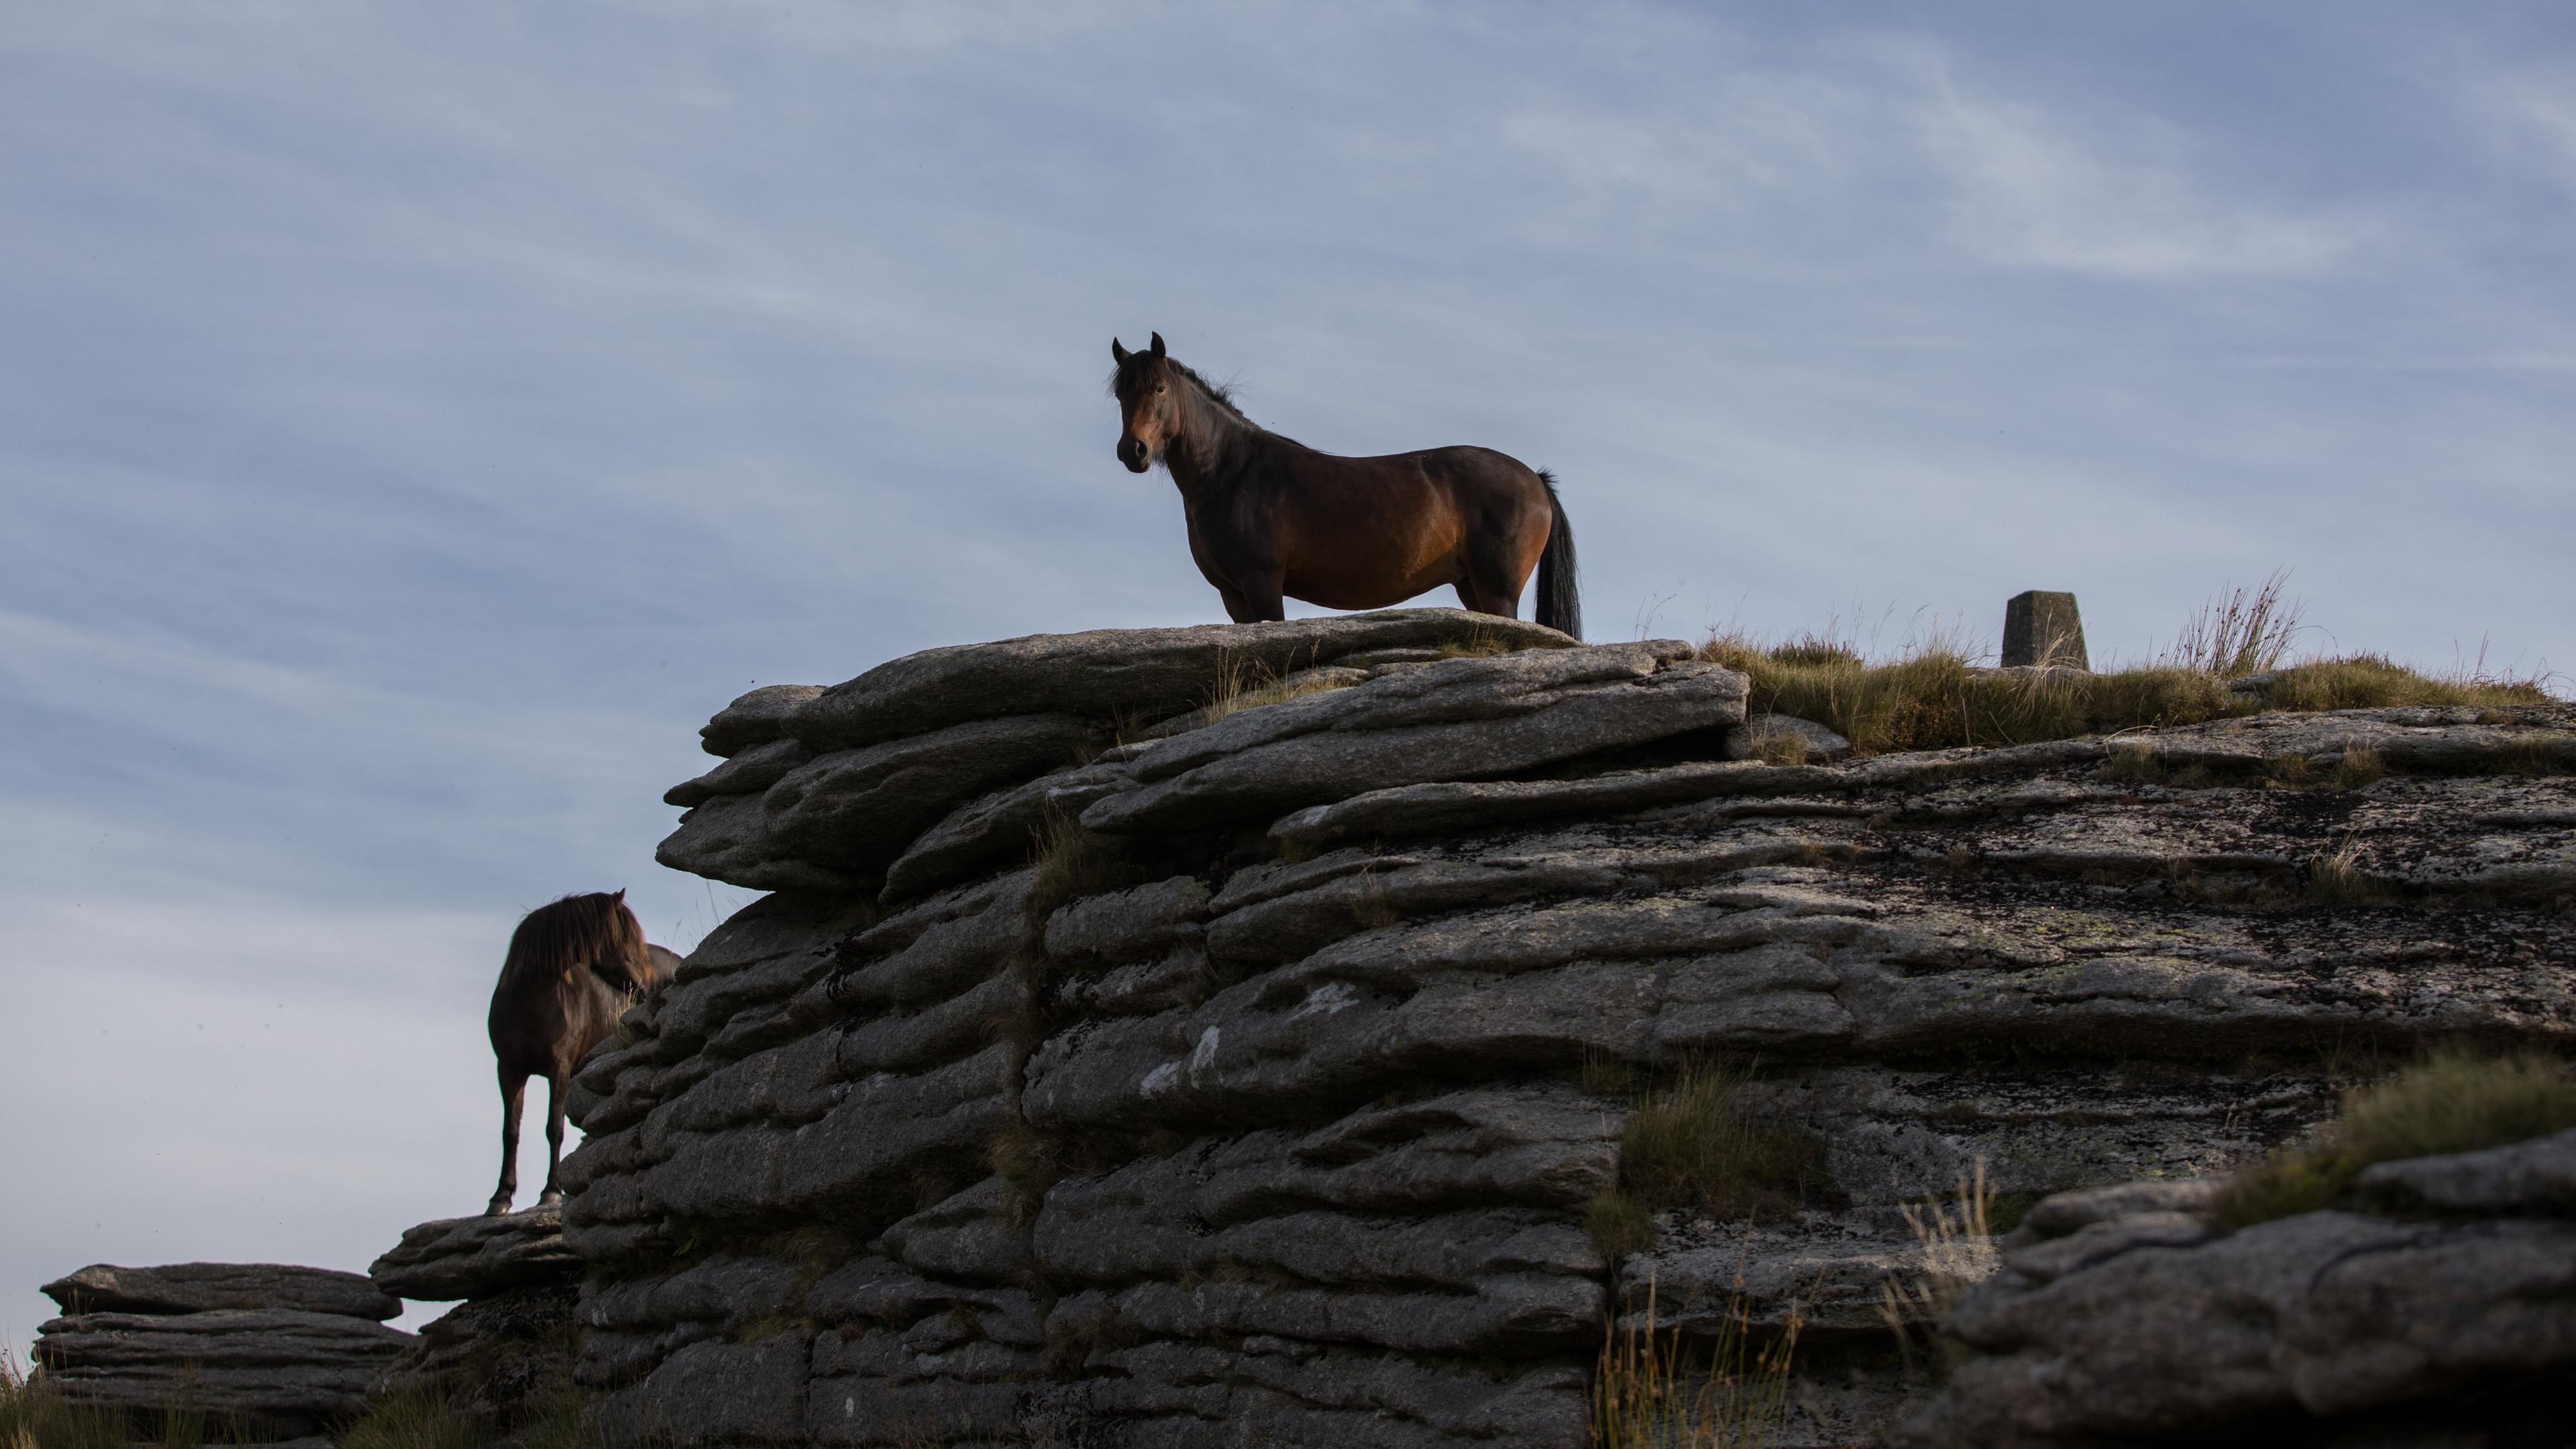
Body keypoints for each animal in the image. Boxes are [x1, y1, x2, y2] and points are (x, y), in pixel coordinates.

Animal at [482, 892, 669, 1206]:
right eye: (627, 937)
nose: (651, 983)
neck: (529, 1005)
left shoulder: (559, 1068)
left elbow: (554, 1128)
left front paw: (551, 1192)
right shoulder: (509, 1070)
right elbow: (511, 1131)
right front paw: (501, 1196)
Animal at [1102, 337, 1566, 637]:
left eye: (1160, 388)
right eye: (1121, 395)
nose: (1133, 451)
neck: (1233, 472)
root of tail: (1535, 479)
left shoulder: (1262, 582)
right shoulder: (1233, 595)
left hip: (1497, 589)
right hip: (1470, 586)